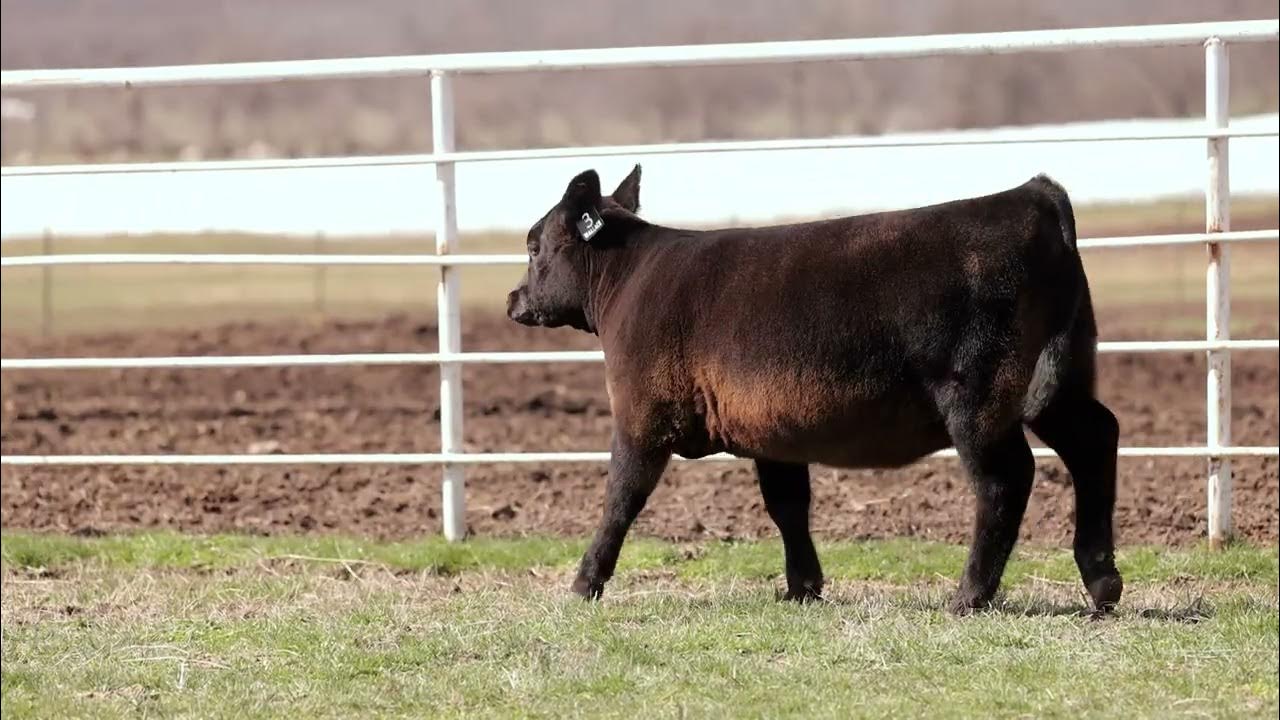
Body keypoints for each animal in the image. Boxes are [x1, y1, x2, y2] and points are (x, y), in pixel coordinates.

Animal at [506, 165, 1122, 615]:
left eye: (535, 246)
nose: (514, 299)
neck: (627, 279)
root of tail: (1031, 195)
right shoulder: (771, 430)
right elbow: (787, 504)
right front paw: (803, 587)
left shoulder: (641, 418)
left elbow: (620, 499)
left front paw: (584, 583)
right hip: (1057, 383)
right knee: (1095, 438)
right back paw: (1102, 581)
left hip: (978, 398)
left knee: (1004, 480)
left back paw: (969, 596)